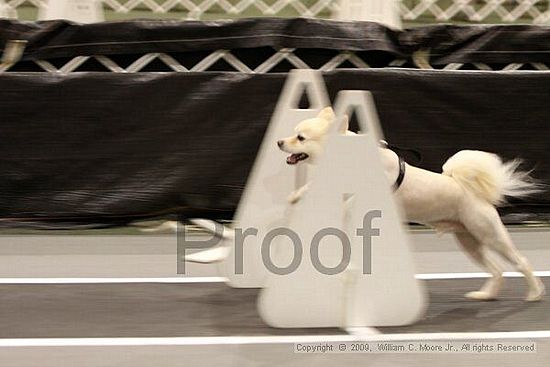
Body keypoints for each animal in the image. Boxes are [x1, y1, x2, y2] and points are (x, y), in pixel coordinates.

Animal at [280, 106, 548, 302]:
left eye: (300, 138)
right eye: (293, 133)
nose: (279, 142)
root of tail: (472, 192)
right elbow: (315, 187)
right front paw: (295, 197)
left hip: (490, 235)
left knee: (520, 262)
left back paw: (534, 293)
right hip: (469, 241)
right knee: (497, 270)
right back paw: (484, 295)